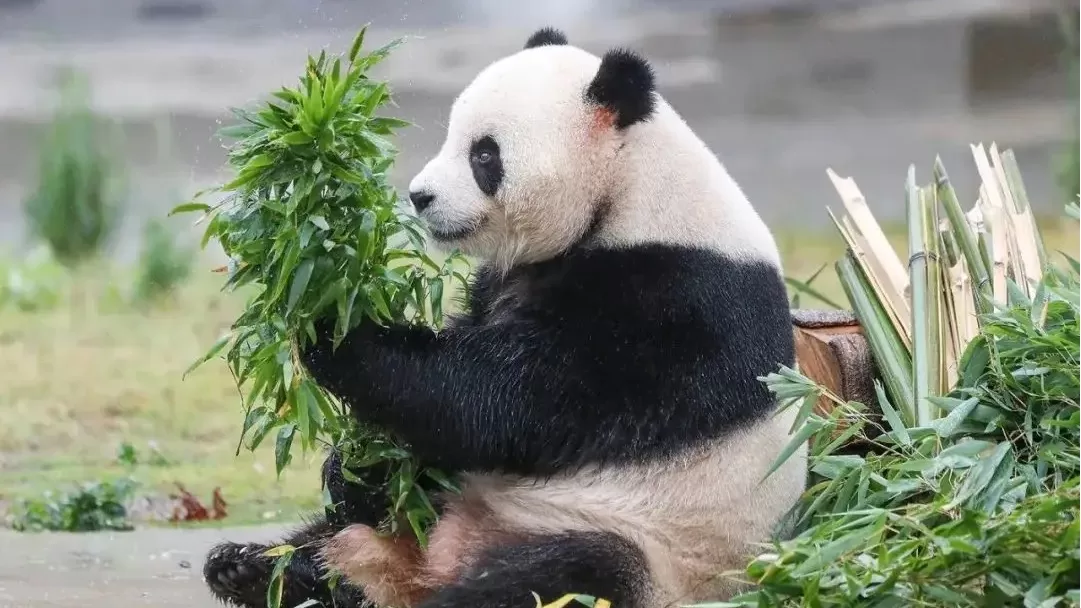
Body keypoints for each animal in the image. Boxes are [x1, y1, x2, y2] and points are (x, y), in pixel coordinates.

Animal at [203, 26, 807, 608]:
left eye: (484, 155)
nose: (419, 197)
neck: (627, 193)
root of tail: (424, 568)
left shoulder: (669, 308)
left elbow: (500, 401)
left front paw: (329, 321)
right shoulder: (508, 281)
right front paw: (350, 467)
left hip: (646, 547)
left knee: (561, 577)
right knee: (336, 538)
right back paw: (253, 567)